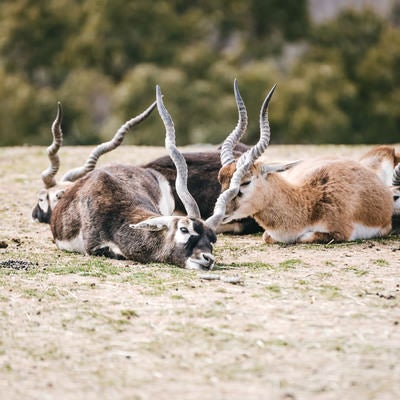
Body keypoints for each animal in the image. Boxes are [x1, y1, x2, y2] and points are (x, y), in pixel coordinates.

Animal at [216, 83, 394, 244]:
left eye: (245, 182)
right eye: (221, 181)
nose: (221, 213)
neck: (307, 204)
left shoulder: (341, 233)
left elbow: (303, 237)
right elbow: (268, 237)